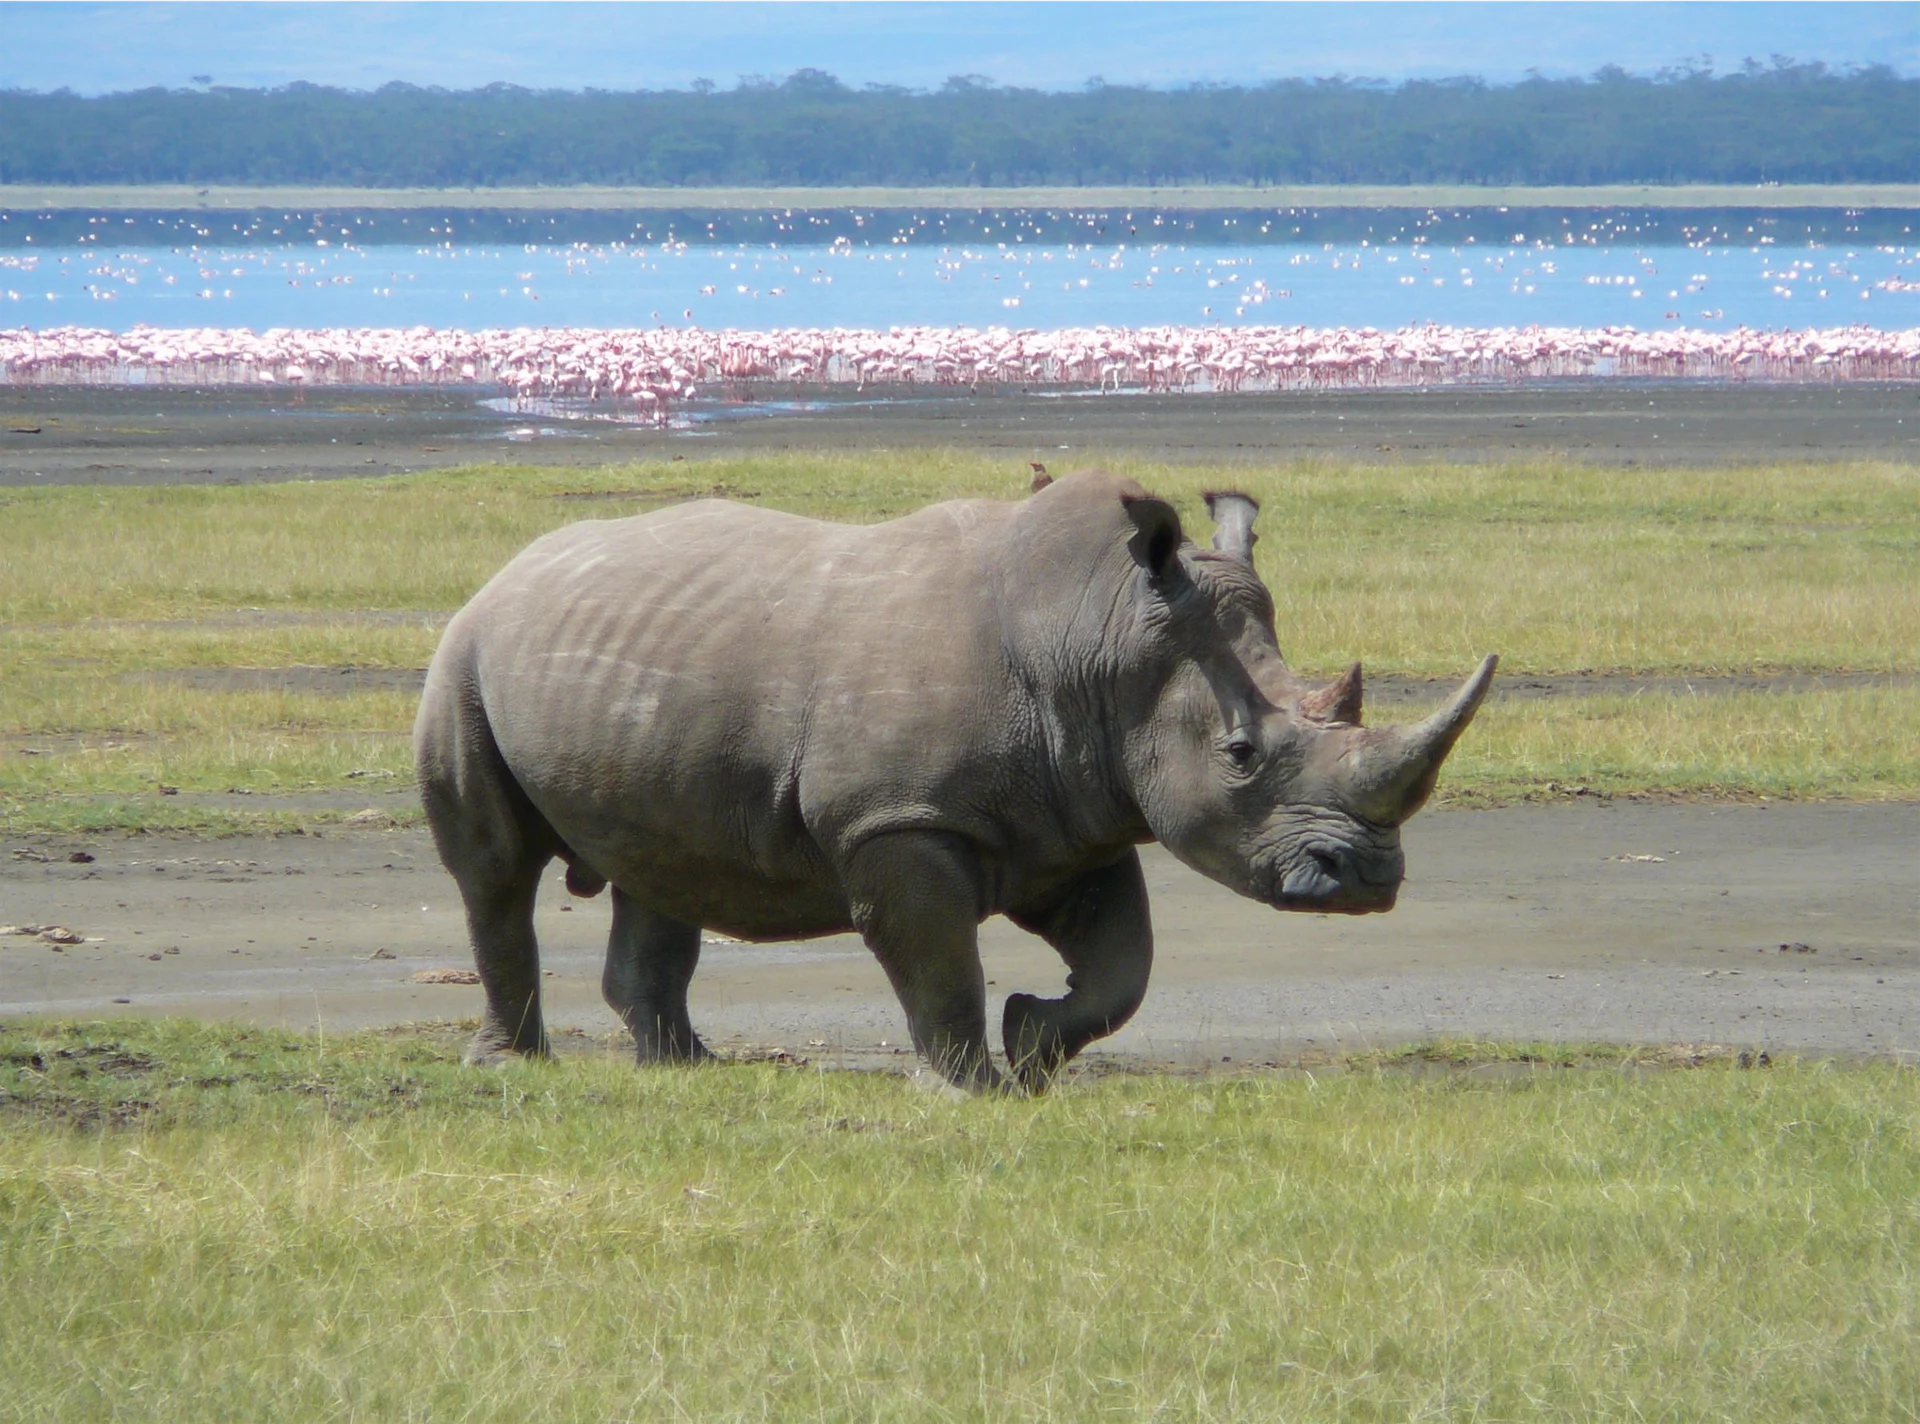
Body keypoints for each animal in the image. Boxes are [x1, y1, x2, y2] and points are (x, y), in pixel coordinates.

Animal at [415, 471, 1495, 1092]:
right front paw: (970, 1088)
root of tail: (510, 570)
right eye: (1239, 756)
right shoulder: (899, 819)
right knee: (495, 871)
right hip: (463, 655)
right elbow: (938, 961)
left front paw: (1033, 1045)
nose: (1369, 880)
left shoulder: (1076, 816)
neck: (1100, 637)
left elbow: (1125, 965)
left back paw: (687, 1072)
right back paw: (515, 1066)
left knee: (660, 863)